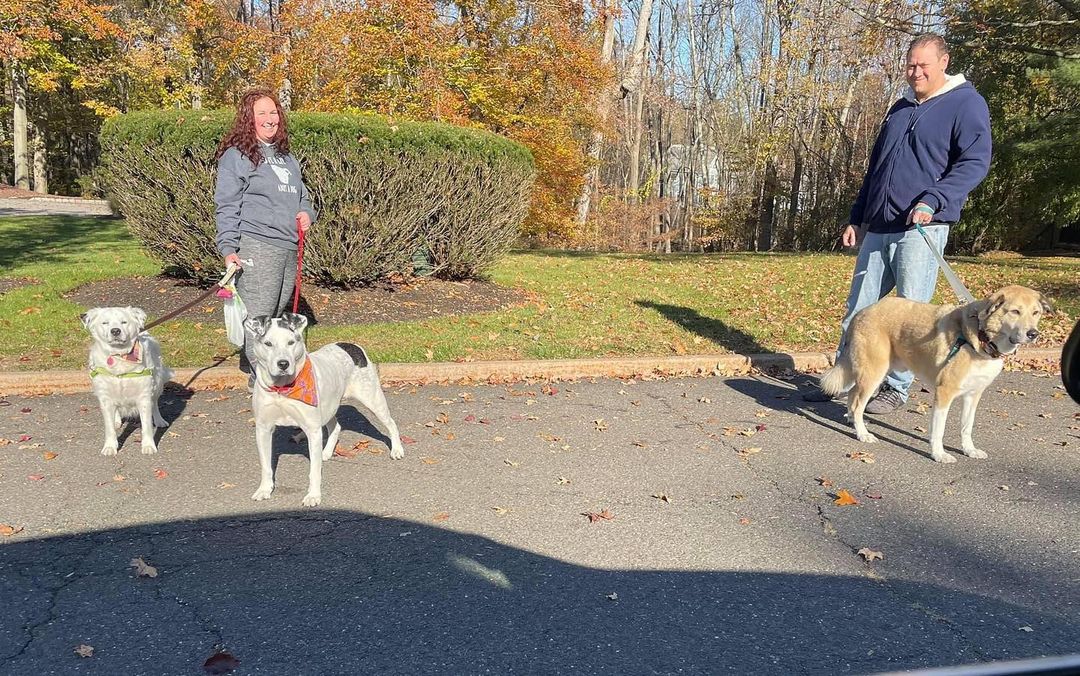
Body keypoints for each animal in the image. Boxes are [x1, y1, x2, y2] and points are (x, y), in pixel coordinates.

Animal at [82, 304, 171, 453]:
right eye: (105, 323)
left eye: (124, 322)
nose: (115, 331)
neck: (120, 358)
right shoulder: (105, 397)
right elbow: (109, 428)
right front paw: (110, 447)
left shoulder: (144, 395)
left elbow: (146, 425)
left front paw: (148, 446)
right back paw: (117, 420)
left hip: (157, 383)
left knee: (155, 403)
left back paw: (159, 420)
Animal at [245, 311, 406, 505]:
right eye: (268, 343)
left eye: (291, 342)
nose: (283, 364)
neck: (282, 390)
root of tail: (351, 345)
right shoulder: (263, 429)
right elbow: (266, 466)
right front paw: (264, 489)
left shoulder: (313, 430)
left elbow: (314, 471)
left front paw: (313, 495)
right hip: (328, 406)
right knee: (335, 426)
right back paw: (326, 452)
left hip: (373, 399)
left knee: (391, 423)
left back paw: (397, 449)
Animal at [820, 285, 1049, 462]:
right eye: (1015, 311)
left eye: (1035, 313)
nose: (1033, 334)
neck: (981, 337)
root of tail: (862, 312)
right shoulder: (944, 392)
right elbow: (938, 430)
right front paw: (939, 454)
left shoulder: (973, 395)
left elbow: (967, 427)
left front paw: (969, 450)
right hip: (874, 371)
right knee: (858, 402)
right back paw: (862, 434)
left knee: (853, 396)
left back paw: (853, 421)